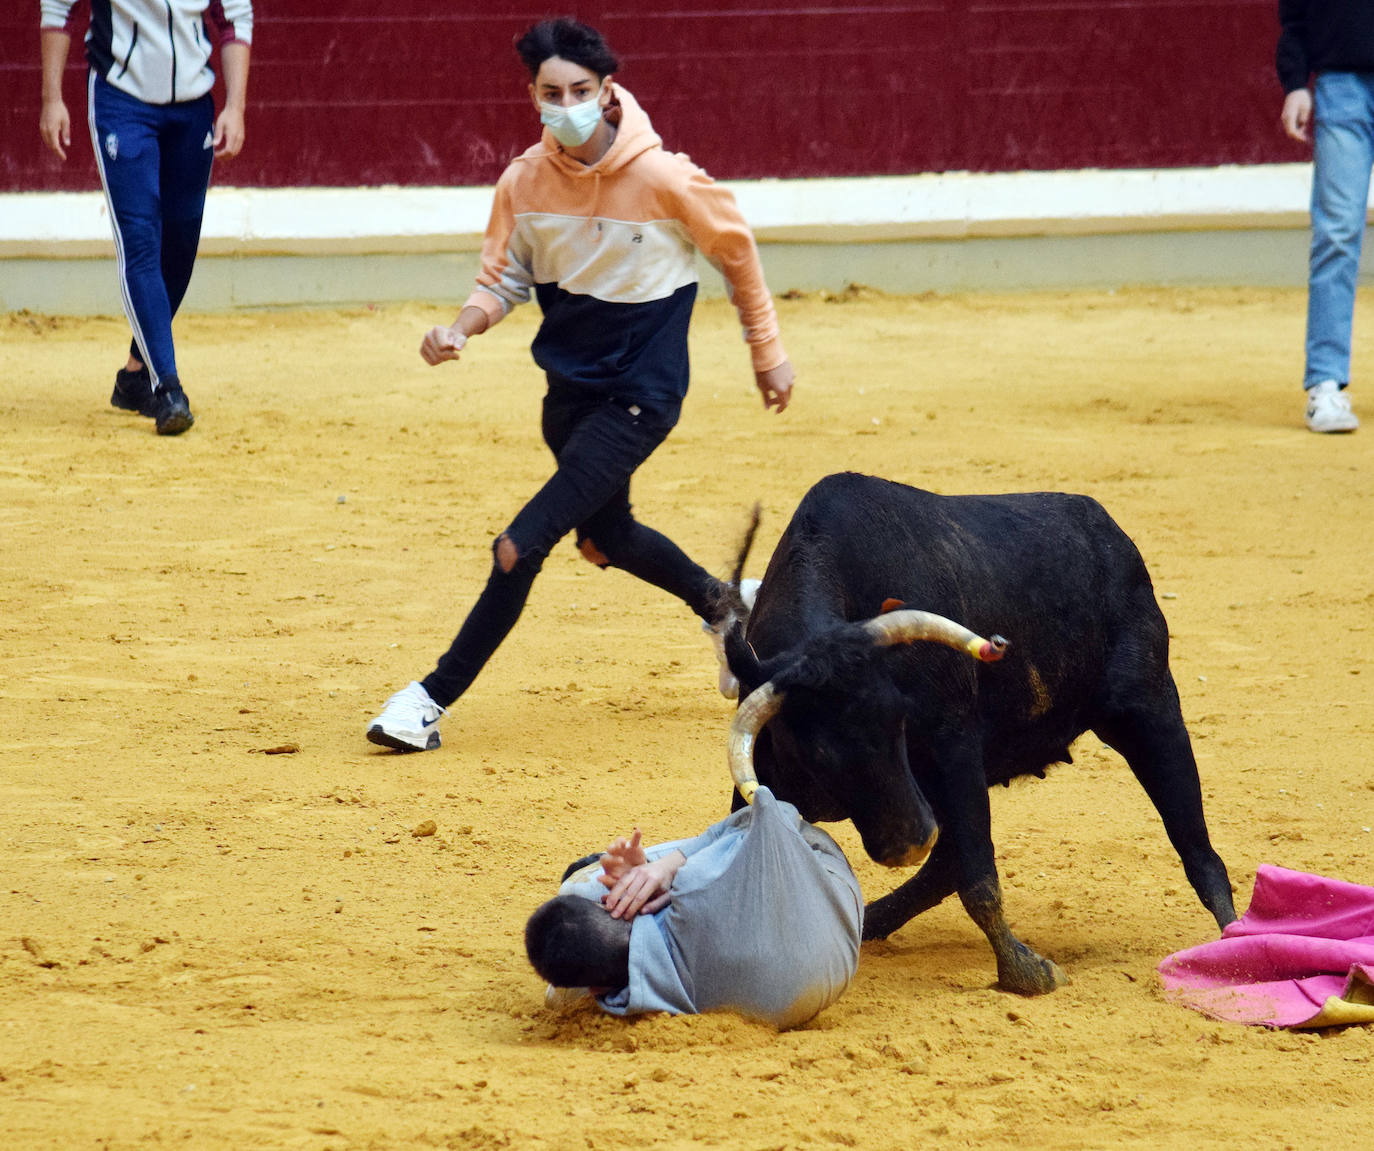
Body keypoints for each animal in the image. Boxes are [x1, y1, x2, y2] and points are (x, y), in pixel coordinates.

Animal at [725, 472, 1242, 994]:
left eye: (899, 718)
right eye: (816, 751)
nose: (910, 840)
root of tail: (1113, 534)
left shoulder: (954, 750)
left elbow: (979, 876)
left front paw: (1026, 973)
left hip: (1151, 714)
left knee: (1199, 849)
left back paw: (1230, 949)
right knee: (944, 862)